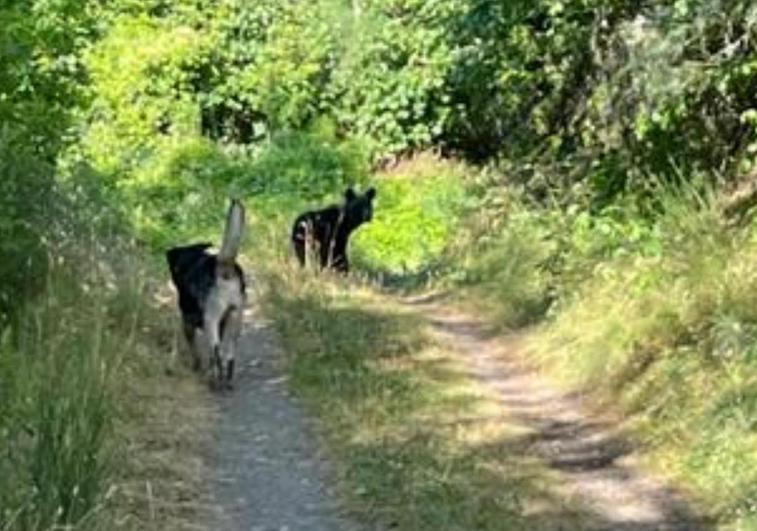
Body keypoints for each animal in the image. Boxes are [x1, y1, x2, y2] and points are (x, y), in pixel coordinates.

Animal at [167, 200, 247, 390]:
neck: (191, 261)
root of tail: (224, 265)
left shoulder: (187, 322)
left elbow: (194, 350)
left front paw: (197, 366)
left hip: (211, 321)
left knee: (216, 354)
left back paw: (213, 381)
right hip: (235, 319)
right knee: (229, 357)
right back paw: (226, 381)